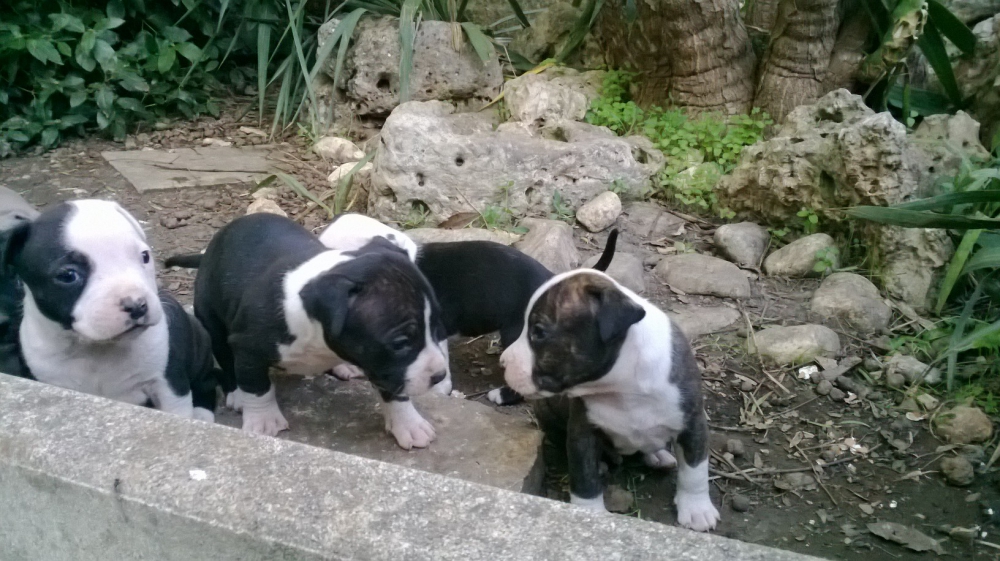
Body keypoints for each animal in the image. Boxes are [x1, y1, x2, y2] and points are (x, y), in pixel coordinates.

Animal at [166, 212, 448, 448]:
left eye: (435, 328)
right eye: (400, 343)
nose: (439, 375)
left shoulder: (384, 367)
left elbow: (396, 390)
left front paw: (409, 423)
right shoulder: (247, 348)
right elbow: (258, 386)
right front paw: (263, 421)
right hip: (211, 318)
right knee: (224, 354)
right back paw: (236, 393)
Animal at [500, 270, 720, 532]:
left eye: (539, 332)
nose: (503, 361)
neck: (623, 387)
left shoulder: (693, 423)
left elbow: (695, 470)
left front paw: (697, 508)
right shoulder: (582, 433)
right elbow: (584, 478)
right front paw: (587, 513)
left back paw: (659, 456)